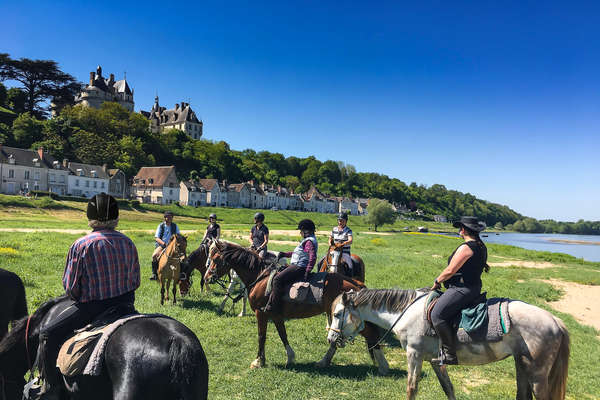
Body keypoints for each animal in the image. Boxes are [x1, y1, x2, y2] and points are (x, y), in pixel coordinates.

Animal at [203, 241, 390, 376]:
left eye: (216, 259)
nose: (207, 277)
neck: (260, 276)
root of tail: (355, 284)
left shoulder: (261, 314)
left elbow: (261, 337)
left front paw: (258, 361)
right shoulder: (276, 316)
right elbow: (283, 335)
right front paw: (290, 357)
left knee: (370, 335)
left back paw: (383, 366)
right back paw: (324, 362)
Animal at [328, 290, 568, 398]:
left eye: (338, 314)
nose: (331, 338)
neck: (407, 312)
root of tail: (554, 320)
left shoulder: (414, 355)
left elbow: (411, 388)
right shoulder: (436, 361)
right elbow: (448, 388)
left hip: (537, 374)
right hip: (522, 365)